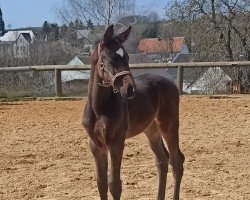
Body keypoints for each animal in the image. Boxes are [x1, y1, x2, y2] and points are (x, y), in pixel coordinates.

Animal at [83, 25, 185, 200]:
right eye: (109, 59)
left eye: (127, 57)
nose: (130, 89)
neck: (98, 109)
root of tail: (171, 84)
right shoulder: (96, 146)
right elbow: (101, 183)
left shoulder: (116, 143)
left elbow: (114, 184)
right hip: (151, 130)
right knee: (162, 162)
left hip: (169, 126)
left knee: (176, 162)